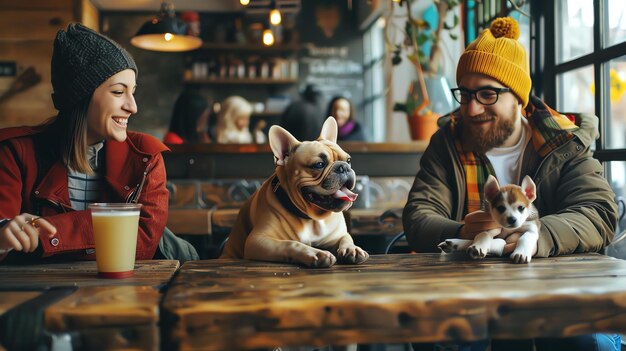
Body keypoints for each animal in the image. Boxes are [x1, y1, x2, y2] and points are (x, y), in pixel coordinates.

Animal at [219, 117, 368, 268]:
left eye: (348, 160)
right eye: (319, 165)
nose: (344, 167)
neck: (311, 219)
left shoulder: (338, 235)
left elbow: (346, 238)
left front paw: (352, 249)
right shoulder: (257, 240)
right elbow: (290, 244)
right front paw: (316, 253)